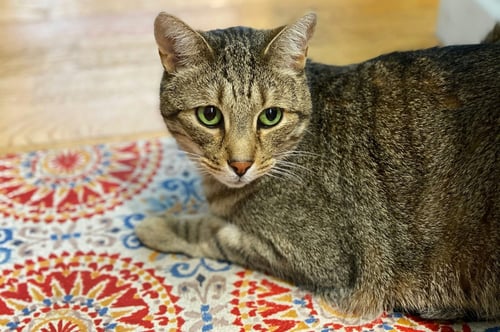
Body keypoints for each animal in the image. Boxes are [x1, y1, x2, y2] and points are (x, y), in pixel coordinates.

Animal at [135, 12, 498, 320]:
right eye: (209, 115)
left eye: (270, 116)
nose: (240, 164)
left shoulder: (320, 258)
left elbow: (215, 232)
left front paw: (158, 226)